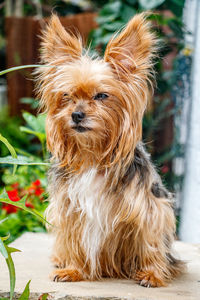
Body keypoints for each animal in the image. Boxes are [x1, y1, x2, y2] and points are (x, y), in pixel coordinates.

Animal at [35, 12, 184, 288]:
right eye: (66, 96)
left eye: (102, 96)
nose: (77, 115)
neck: (92, 153)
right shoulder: (71, 209)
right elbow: (73, 239)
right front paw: (73, 269)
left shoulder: (150, 208)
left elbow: (150, 240)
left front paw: (152, 274)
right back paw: (61, 260)